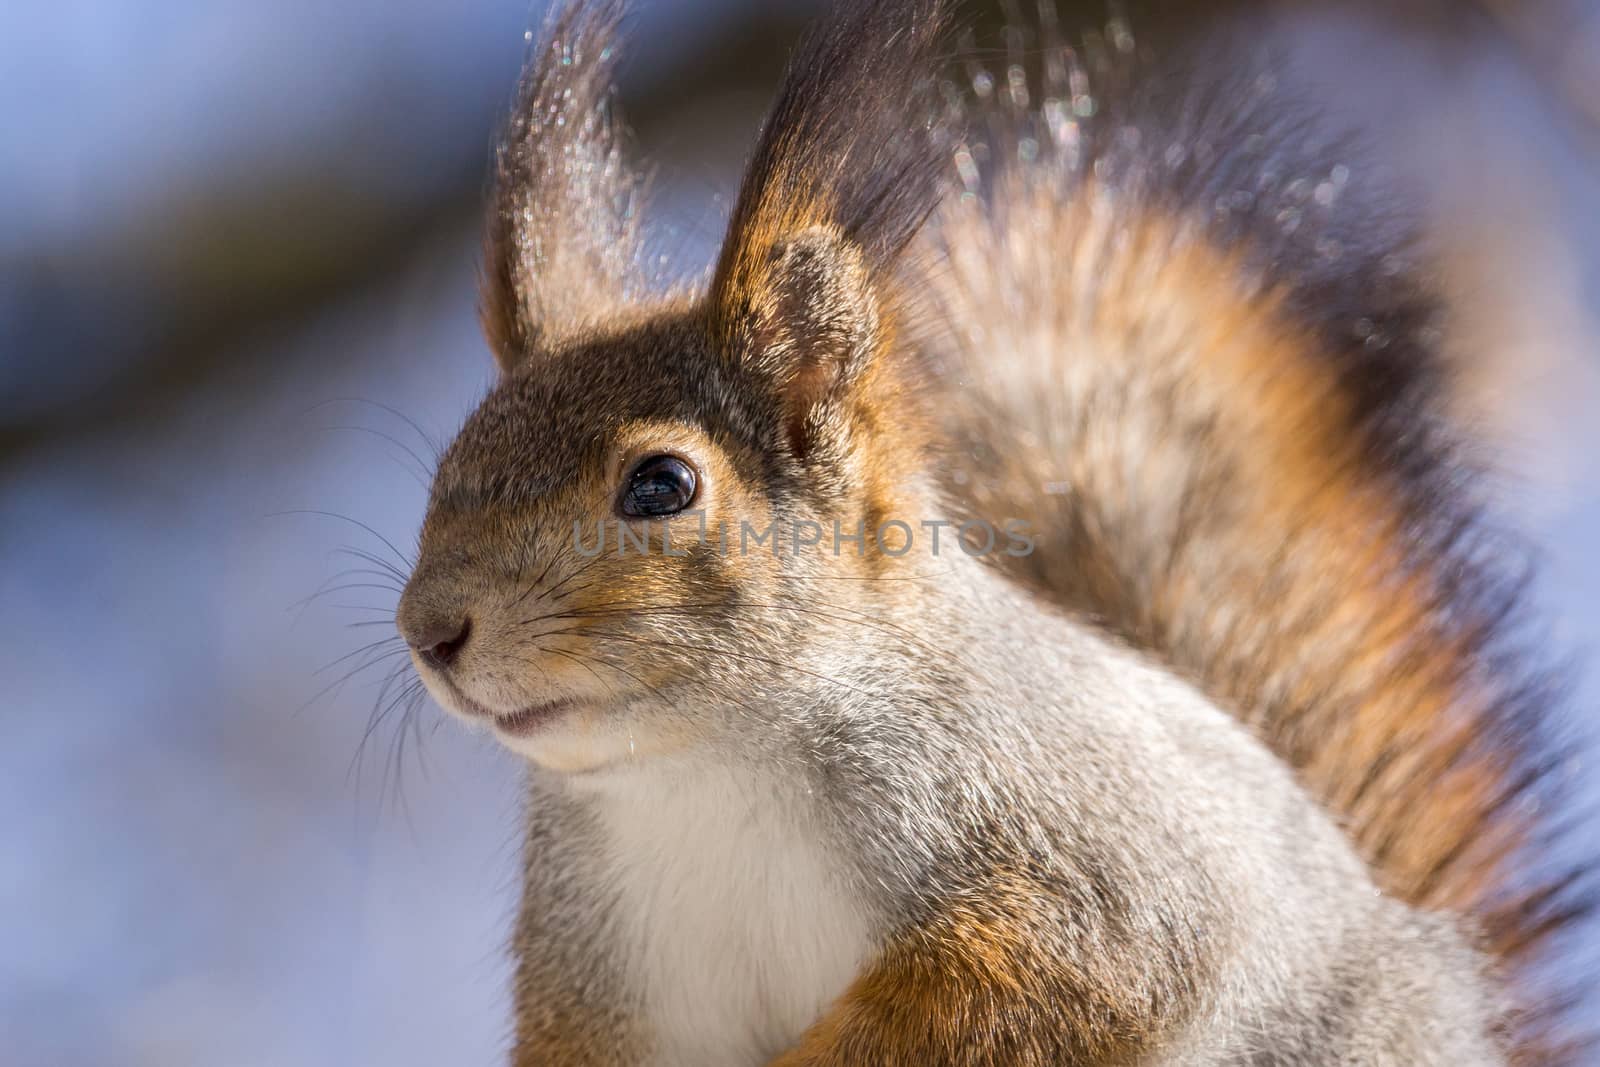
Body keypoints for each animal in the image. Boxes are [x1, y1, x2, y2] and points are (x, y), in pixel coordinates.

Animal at [396, 2, 1587, 1067]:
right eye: (448, 462)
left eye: (660, 485)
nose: (429, 630)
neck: (696, 772)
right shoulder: (590, 971)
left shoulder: (1087, 861)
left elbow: (1051, 982)